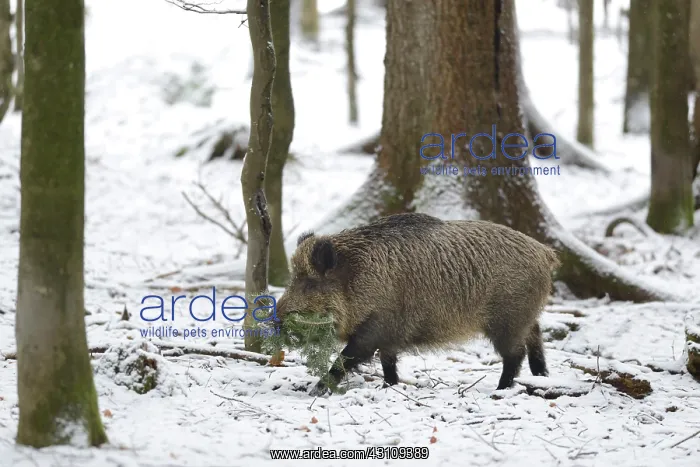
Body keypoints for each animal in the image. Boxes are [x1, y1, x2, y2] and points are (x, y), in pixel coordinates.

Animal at [275, 212, 560, 396]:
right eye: (292, 279)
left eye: (309, 284)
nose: (276, 320)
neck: (359, 279)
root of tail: (545, 253)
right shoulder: (388, 336)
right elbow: (388, 363)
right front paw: (389, 387)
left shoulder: (374, 329)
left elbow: (346, 359)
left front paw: (316, 390)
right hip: (525, 316)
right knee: (536, 335)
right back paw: (541, 376)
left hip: (507, 320)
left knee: (515, 353)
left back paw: (501, 389)